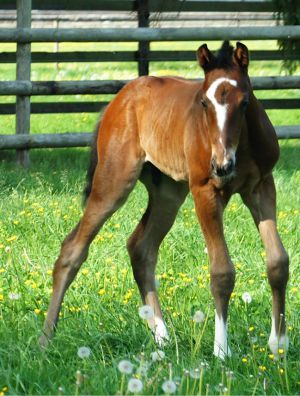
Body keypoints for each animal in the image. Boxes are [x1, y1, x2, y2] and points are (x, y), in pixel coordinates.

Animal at [39, 41, 288, 360]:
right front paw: (221, 351)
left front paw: (278, 346)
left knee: (141, 248)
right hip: (113, 182)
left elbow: (278, 261)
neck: (240, 148)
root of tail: (119, 98)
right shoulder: (205, 191)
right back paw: (45, 339)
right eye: (204, 103)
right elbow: (222, 271)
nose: (221, 166)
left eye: (244, 103)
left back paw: (162, 338)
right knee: (73, 248)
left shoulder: (262, 186)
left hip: (168, 193)